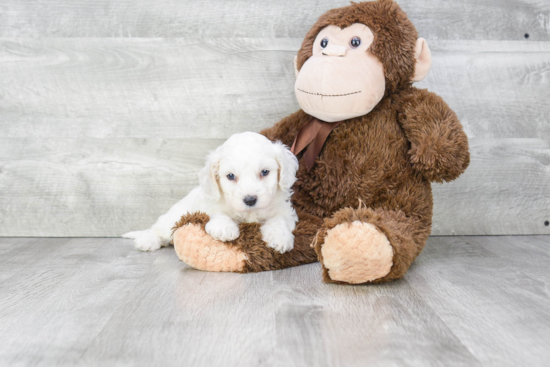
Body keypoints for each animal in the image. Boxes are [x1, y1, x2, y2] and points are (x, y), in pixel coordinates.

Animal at [123, 133, 300, 256]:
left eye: (265, 172)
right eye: (230, 176)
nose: (250, 200)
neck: (250, 213)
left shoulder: (285, 210)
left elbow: (279, 219)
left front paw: (279, 237)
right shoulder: (208, 205)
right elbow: (218, 213)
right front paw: (224, 228)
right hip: (172, 219)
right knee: (157, 229)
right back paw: (147, 239)